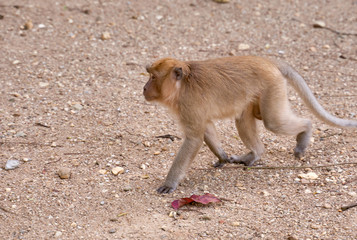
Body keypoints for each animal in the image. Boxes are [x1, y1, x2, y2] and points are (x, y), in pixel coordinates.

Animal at [143, 55, 356, 193]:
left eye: (153, 77)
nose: (144, 88)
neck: (182, 86)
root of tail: (266, 61)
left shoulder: (189, 104)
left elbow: (194, 139)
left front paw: (170, 183)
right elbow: (207, 129)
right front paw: (223, 157)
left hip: (272, 87)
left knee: (274, 122)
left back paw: (305, 132)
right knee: (243, 119)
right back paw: (255, 153)